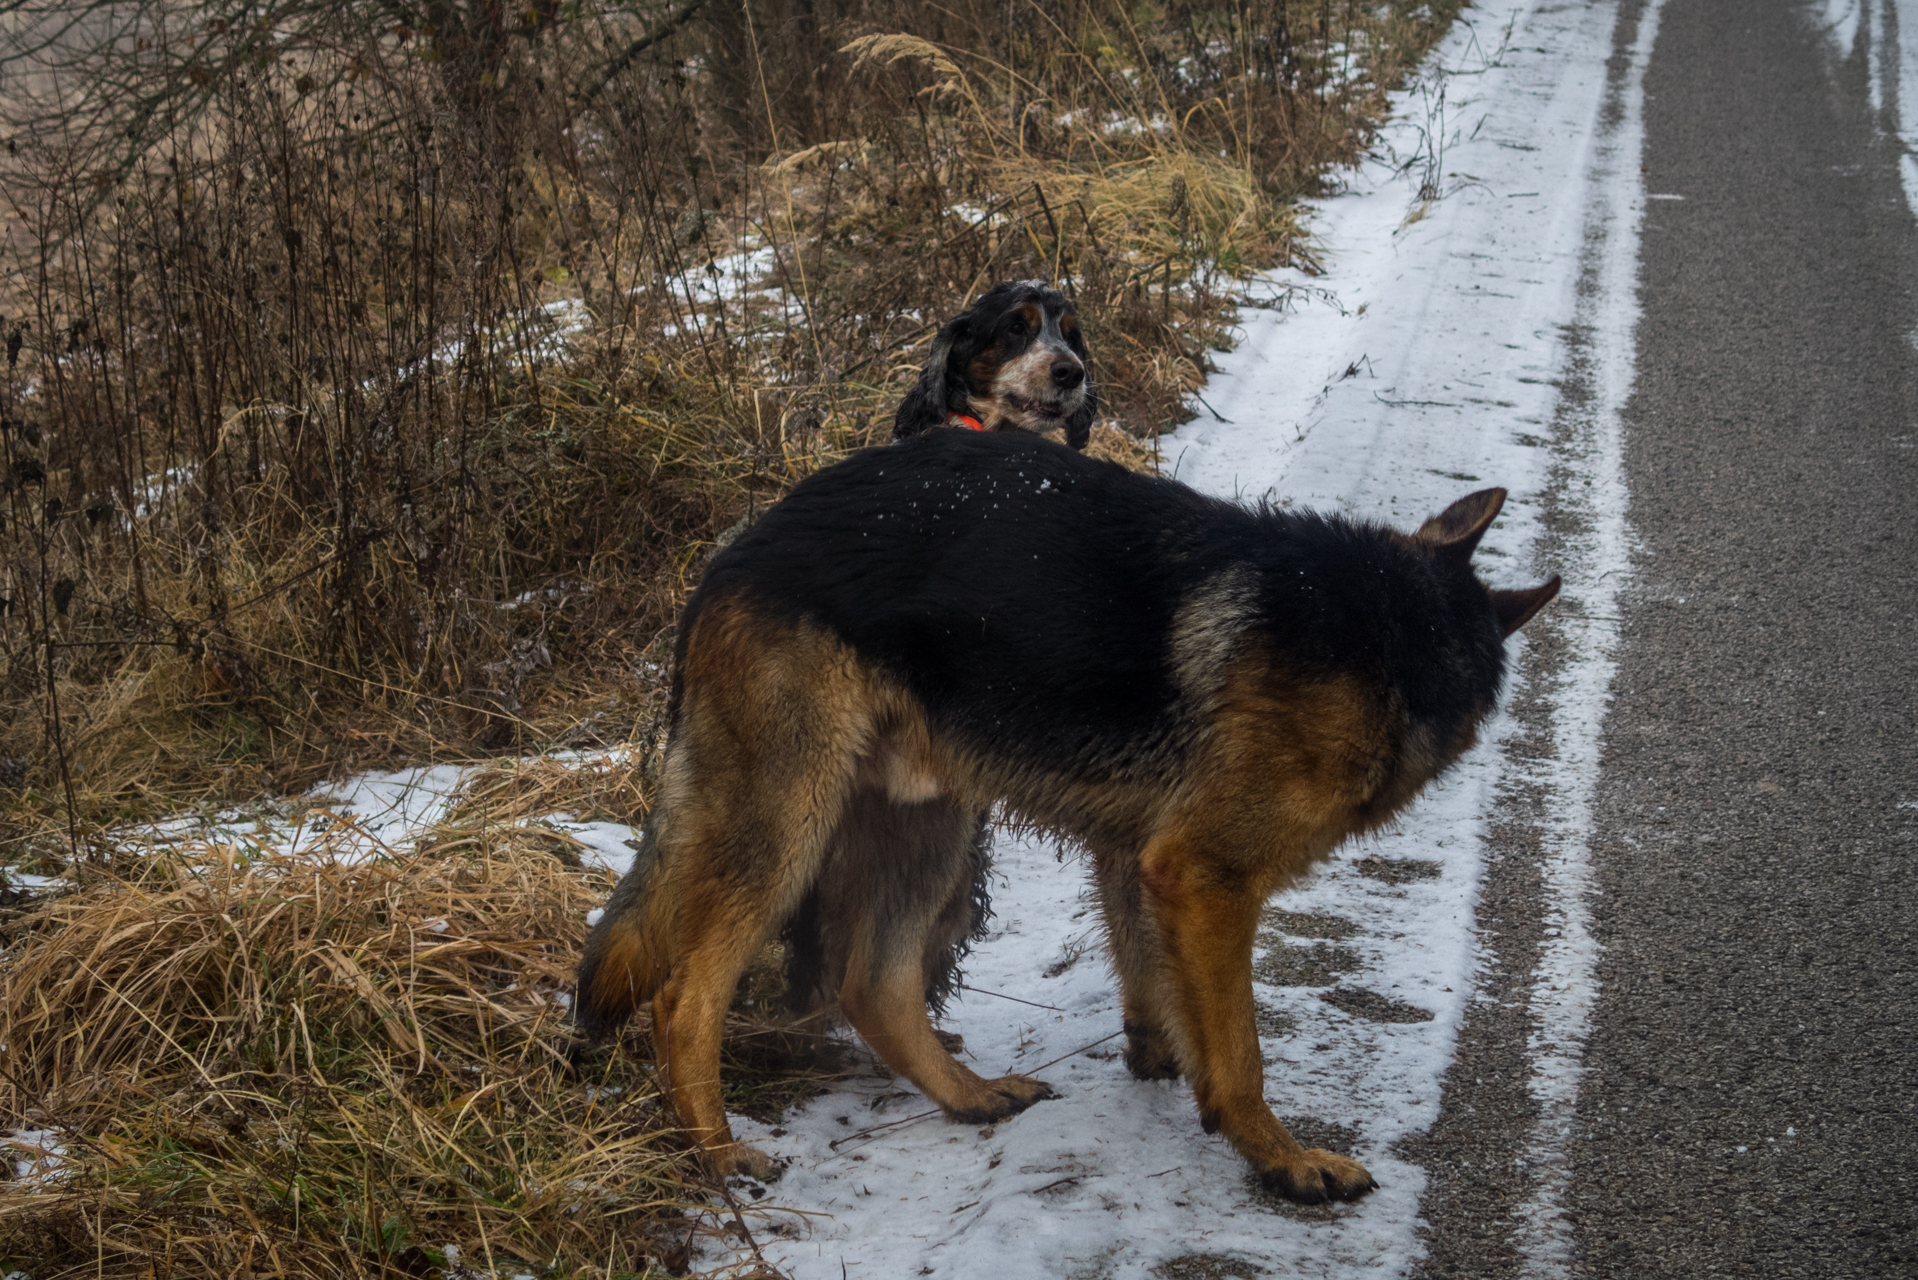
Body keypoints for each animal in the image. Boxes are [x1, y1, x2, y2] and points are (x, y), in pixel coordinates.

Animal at [571, 427, 1557, 1205]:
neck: (1387, 631)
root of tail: (735, 553)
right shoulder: (1205, 876)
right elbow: (1241, 1052)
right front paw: (1280, 1158)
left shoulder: (1142, 866)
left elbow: (1163, 996)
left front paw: (1168, 1069)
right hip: (788, 830)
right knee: (683, 1000)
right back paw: (719, 1155)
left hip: (931, 822)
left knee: (875, 983)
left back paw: (966, 1096)